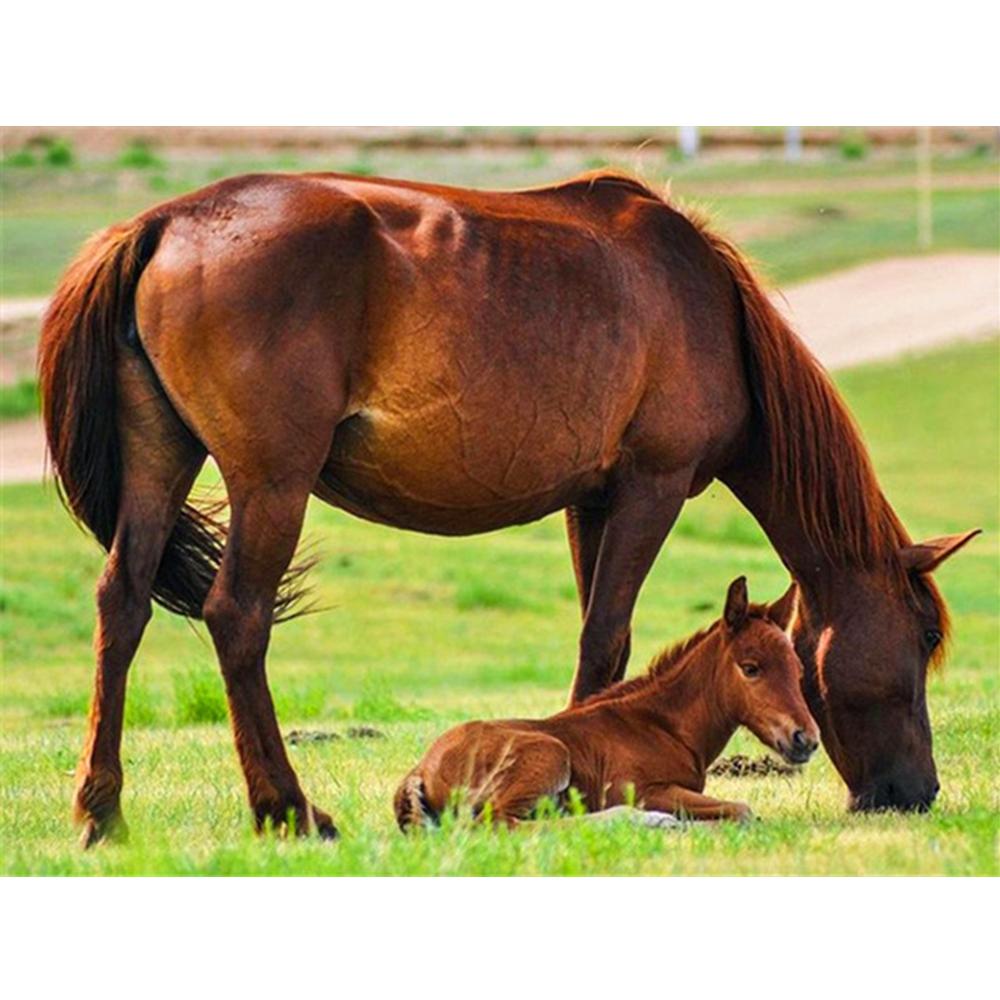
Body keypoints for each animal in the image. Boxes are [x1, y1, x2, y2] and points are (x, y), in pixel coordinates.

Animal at [394, 576, 817, 829]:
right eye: (750, 668)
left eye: (798, 668)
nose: (806, 740)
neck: (663, 726)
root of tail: (420, 770)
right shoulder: (644, 788)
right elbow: (743, 810)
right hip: (548, 755)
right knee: (502, 824)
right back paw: (642, 820)